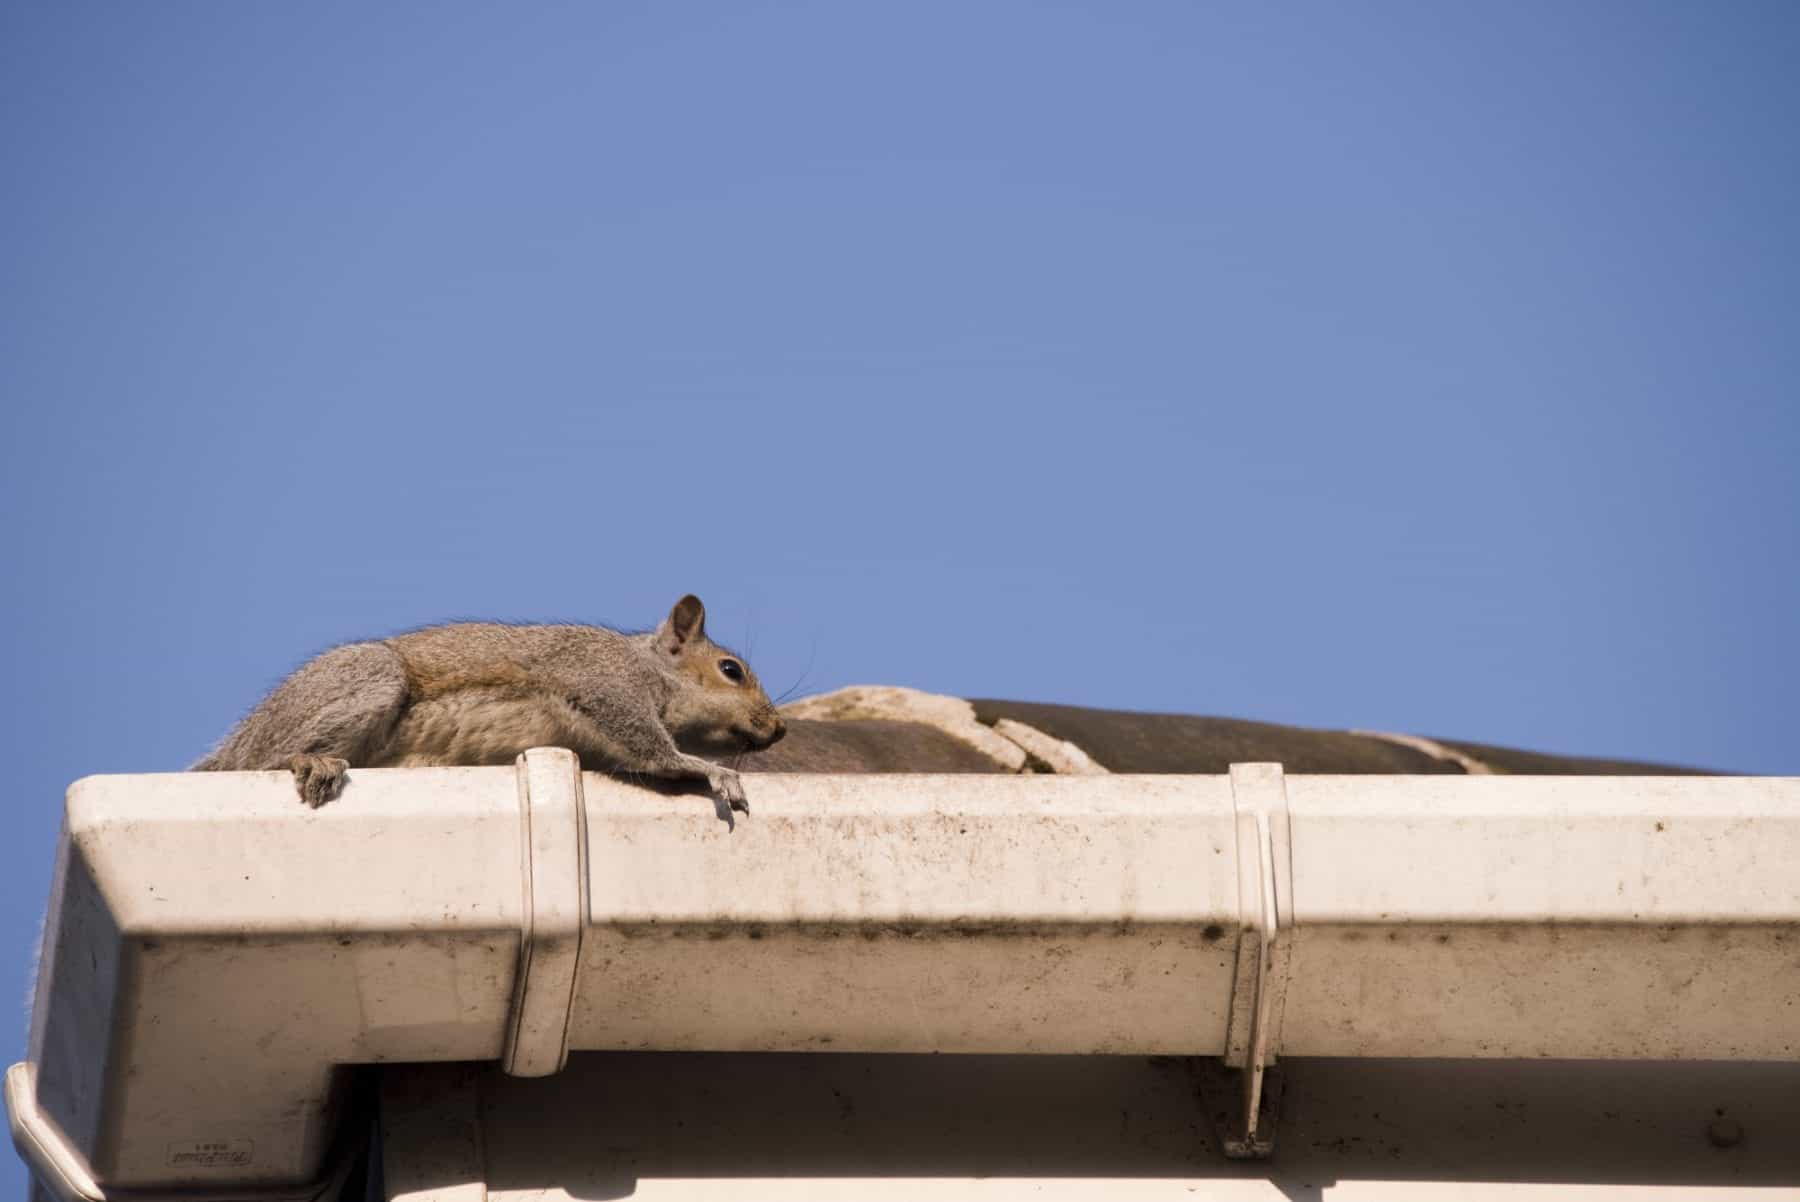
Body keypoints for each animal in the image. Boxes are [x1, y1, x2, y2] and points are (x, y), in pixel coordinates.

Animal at [192, 595, 785, 811]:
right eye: (730, 670)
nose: (778, 729)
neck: (650, 667)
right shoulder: (600, 680)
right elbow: (652, 747)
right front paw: (710, 770)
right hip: (369, 679)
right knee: (267, 760)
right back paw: (310, 760)